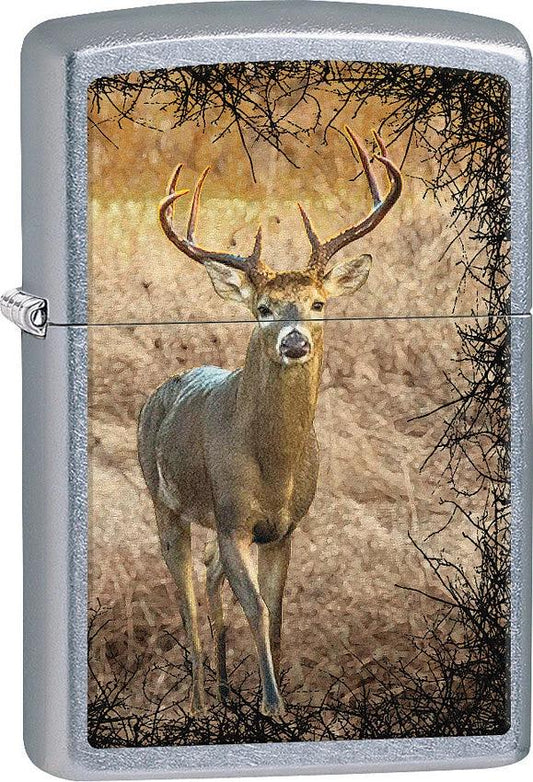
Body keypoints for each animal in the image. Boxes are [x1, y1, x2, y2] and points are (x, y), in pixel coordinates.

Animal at [137, 127, 402, 717]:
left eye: (318, 302)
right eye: (263, 307)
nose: (295, 342)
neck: (273, 466)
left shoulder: (283, 528)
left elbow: (277, 614)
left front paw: (274, 701)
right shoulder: (234, 517)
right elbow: (256, 608)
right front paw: (271, 704)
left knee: (209, 575)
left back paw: (221, 688)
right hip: (164, 499)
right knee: (185, 595)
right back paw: (200, 698)